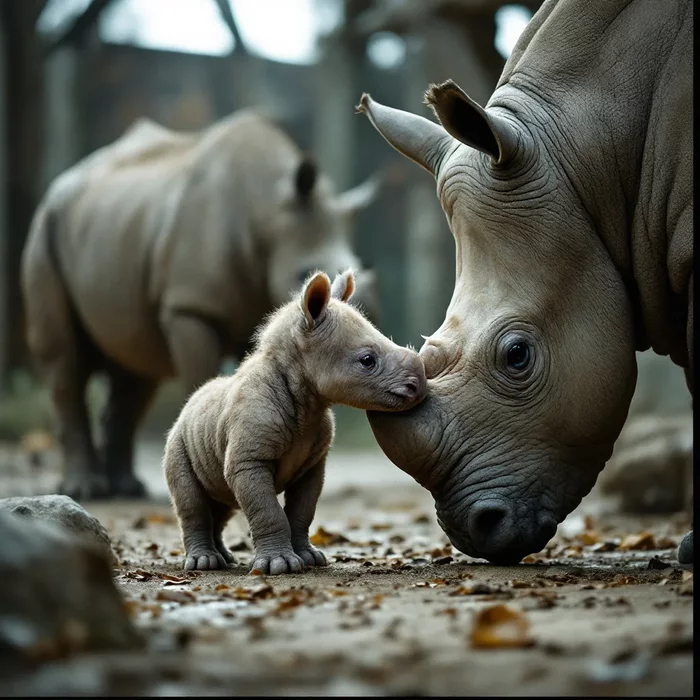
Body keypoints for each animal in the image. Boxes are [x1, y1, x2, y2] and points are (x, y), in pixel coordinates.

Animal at [23, 109, 382, 504]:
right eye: (306, 272)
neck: (268, 212)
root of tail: (62, 184)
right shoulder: (190, 306)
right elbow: (201, 375)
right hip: (46, 227)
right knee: (66, 361)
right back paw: (86, 491)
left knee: (136, 370)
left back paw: (128, 489)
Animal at [164, 268, 426, 576]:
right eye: (367, 360)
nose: (419, 386)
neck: (300, 389)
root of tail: (188, 405)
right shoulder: (248, 461)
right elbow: (268, 511)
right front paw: (279, 566)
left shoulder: (313, 463)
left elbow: (302, 511)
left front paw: (310, 558)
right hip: (178, 440)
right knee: (193, 502)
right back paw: (204, 563)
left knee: (222, 502)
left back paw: (224, 559)